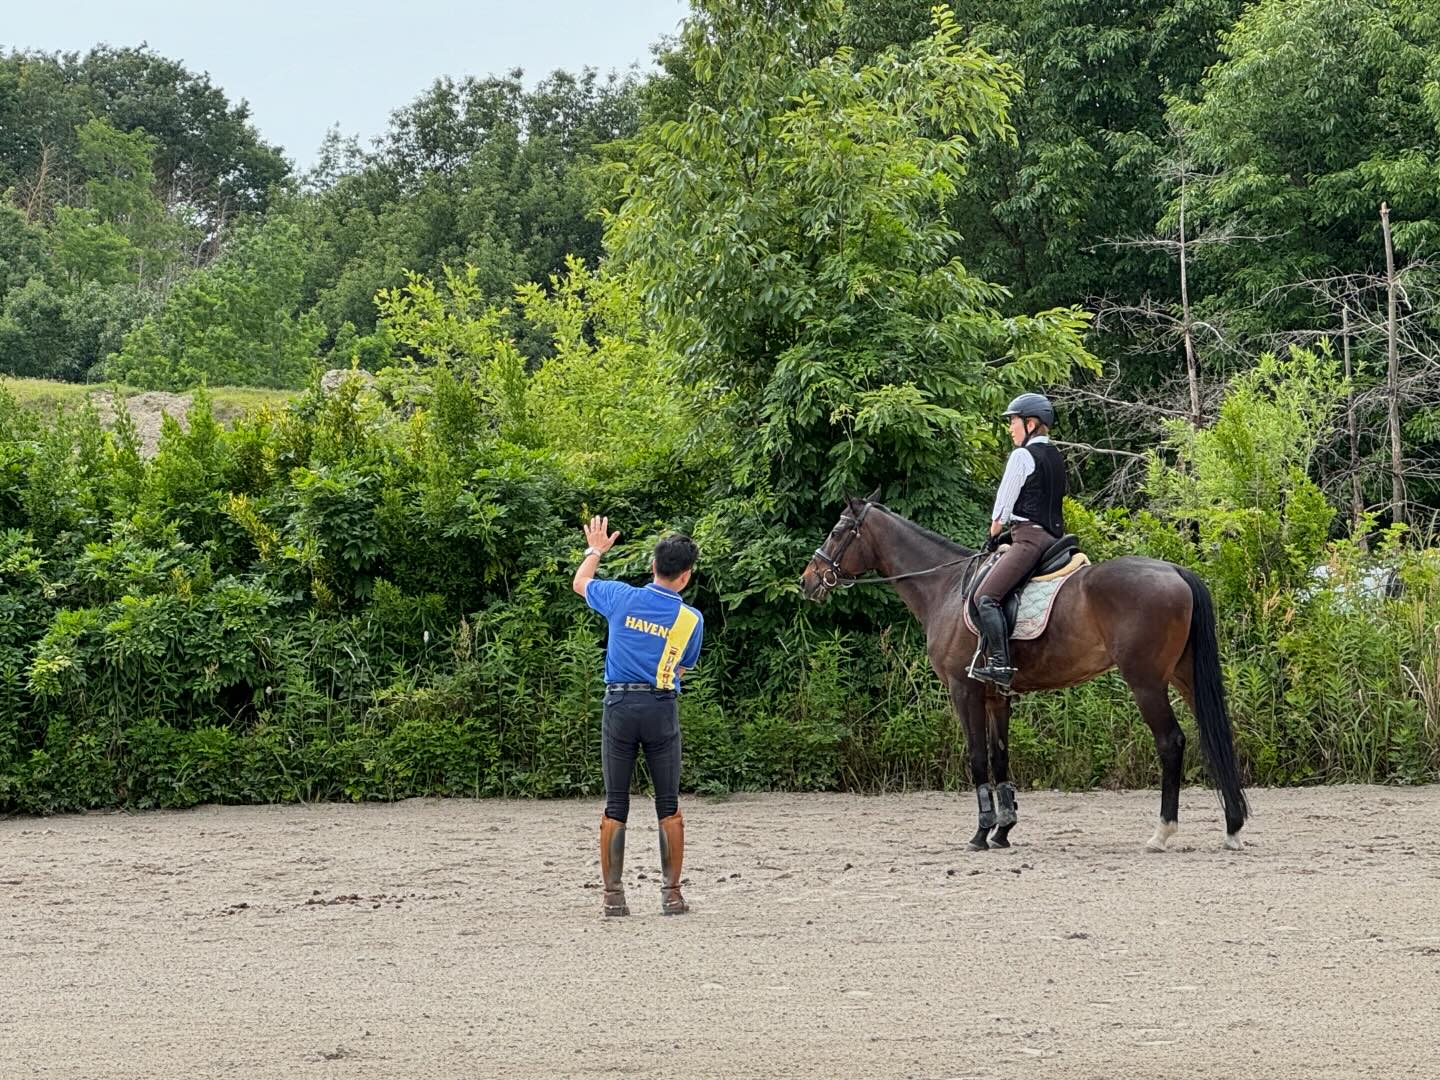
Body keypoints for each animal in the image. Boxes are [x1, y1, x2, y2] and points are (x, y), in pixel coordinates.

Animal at [800, 498, 1249, 852]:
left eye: (838, 531)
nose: (808, 581)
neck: (945, 586)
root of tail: (1175, 571)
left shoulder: (965, 691)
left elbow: (977, 757)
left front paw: (980, 834)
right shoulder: (997, 696)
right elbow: (1001, 758)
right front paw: (1003, 831)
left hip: (1146, 682)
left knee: (1171, 742)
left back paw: (1162, 833)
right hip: (1184, 677)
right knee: (1215, 735)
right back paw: (1233, 827)